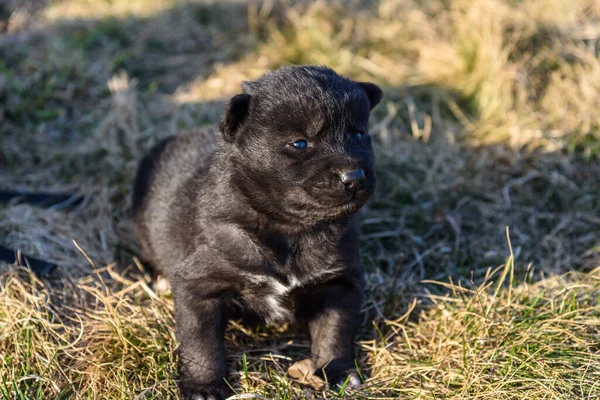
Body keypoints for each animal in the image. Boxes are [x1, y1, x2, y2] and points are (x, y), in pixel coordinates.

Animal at [133, 66, 382, 400]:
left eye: (358, 134)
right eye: (300, 143)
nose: (354, 177)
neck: (289, 229)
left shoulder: (338, 282)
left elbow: (335, 332)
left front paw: (340, 373)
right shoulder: (200, 285)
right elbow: (202, 344)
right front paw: (204, 387)